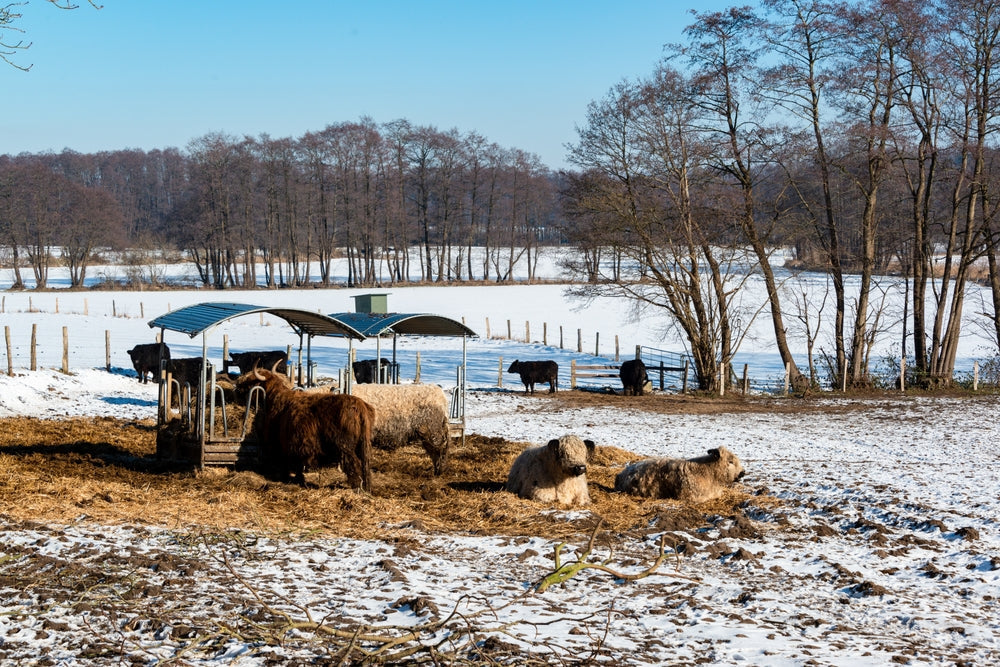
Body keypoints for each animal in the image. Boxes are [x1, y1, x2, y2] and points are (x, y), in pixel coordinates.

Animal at [236, 367, 374, 491]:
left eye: (251, 382)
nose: (237, 388)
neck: (274, 398)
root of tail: (359, 405)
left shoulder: (283, 443)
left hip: (344, 446)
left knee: (353, 463)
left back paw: (356, 487)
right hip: (363, 445)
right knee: (364, 465)